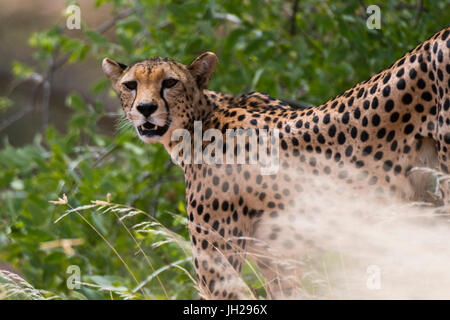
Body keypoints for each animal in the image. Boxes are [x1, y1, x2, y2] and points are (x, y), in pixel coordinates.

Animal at [103, 27, 450, 300]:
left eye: (170, 83)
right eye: (131, 85)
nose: (146, 108)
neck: (200, 120)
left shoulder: (218, 272)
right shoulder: (279, 260)